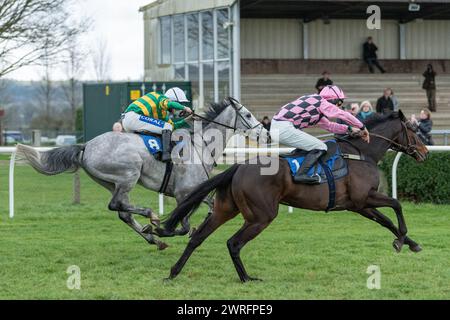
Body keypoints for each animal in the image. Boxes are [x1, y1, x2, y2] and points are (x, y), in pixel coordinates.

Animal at [15, 97, 266, 250]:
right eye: (247, 115)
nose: (265, 132)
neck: (201, 145)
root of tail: (86, 146)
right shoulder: (184, 193)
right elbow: (184, 224)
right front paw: (164, 228)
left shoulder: (195, 192)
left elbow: (208, 209)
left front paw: (169, 231)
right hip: (129, 174)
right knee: (116, 205)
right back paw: (151, 217)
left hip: (111, 182)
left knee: (122, 211)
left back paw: (152, 237)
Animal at [158, 111, 428, 282]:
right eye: (414, 131)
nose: (425, 152)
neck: (362, 153)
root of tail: (238, 166)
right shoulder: (364, 198)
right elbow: (396, 204)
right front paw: (402, 240)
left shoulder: (358, 205)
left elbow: (387, 220)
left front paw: (411, 243)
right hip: (261, 216)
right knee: (233, 243)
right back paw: (246, 278)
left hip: (225, 209)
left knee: (197, 238)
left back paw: (173, 272)